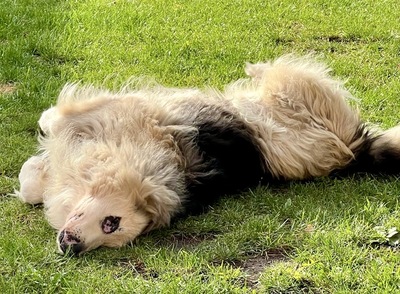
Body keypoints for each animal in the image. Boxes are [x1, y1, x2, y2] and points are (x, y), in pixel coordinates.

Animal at [14, 55, 400, 255]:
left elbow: (58, 124)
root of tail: (356, 154)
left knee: (286, 68)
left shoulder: (120, 114)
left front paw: (42, 148)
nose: (71, 248)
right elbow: (39, 173)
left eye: (112, 227)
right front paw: (40, 157)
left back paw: (257, 68)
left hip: (295, 96)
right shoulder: (117, 115)